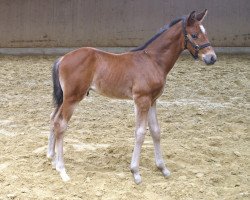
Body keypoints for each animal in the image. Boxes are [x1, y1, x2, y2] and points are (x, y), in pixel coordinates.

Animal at [47, 10, 217, 184]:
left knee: (53, 119)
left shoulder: (153, 101)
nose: (212, 58)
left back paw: (52, 159)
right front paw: (135, 172)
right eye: (195, 35)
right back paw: (62, 169)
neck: (153, 61)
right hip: (72, 98)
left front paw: (162, 168)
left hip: (64, 99)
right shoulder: (142, 100)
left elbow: (156, 131)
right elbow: (140, 132)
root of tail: (62, 58)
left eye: (205, 33)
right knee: (61, 125)